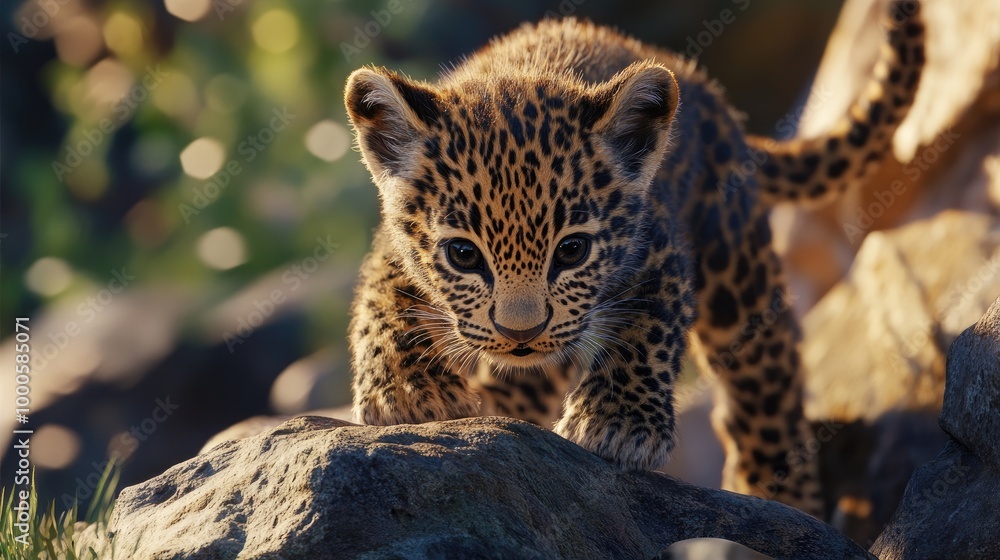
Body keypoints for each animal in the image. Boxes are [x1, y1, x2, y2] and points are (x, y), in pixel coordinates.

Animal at [343, 0, 925, 517]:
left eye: (572, 250)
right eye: (463, 254)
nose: (519, 333)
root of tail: (704, 88)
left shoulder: (658, 250)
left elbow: (645, 330)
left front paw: (618, 425)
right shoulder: (392, 249)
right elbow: (381, 311)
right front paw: (411, 393)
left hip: (735, 268)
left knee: (766, 382)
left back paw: (782, 500)